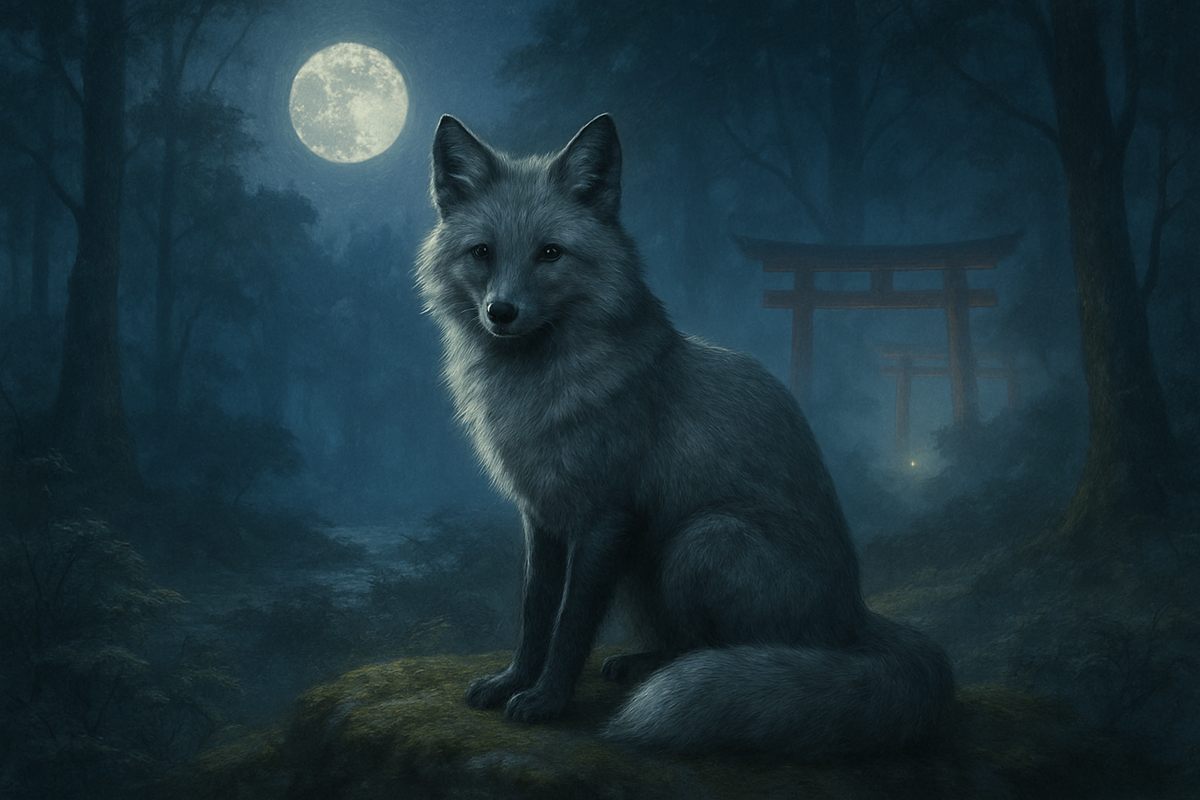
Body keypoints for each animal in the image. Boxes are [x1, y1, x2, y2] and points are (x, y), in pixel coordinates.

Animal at [415, 113, 955, 758]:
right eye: (482, 253)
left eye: (550, 254)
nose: (501, 311)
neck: (539, 395)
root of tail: (855, 616)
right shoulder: (541, 517)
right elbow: (534, 614)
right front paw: (513, 681)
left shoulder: (604, 519)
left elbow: (571, 625)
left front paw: (547, 700)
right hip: (646, 571)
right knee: (682, 642)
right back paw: (640, 663)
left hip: (701, 541)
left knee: (719, 649)